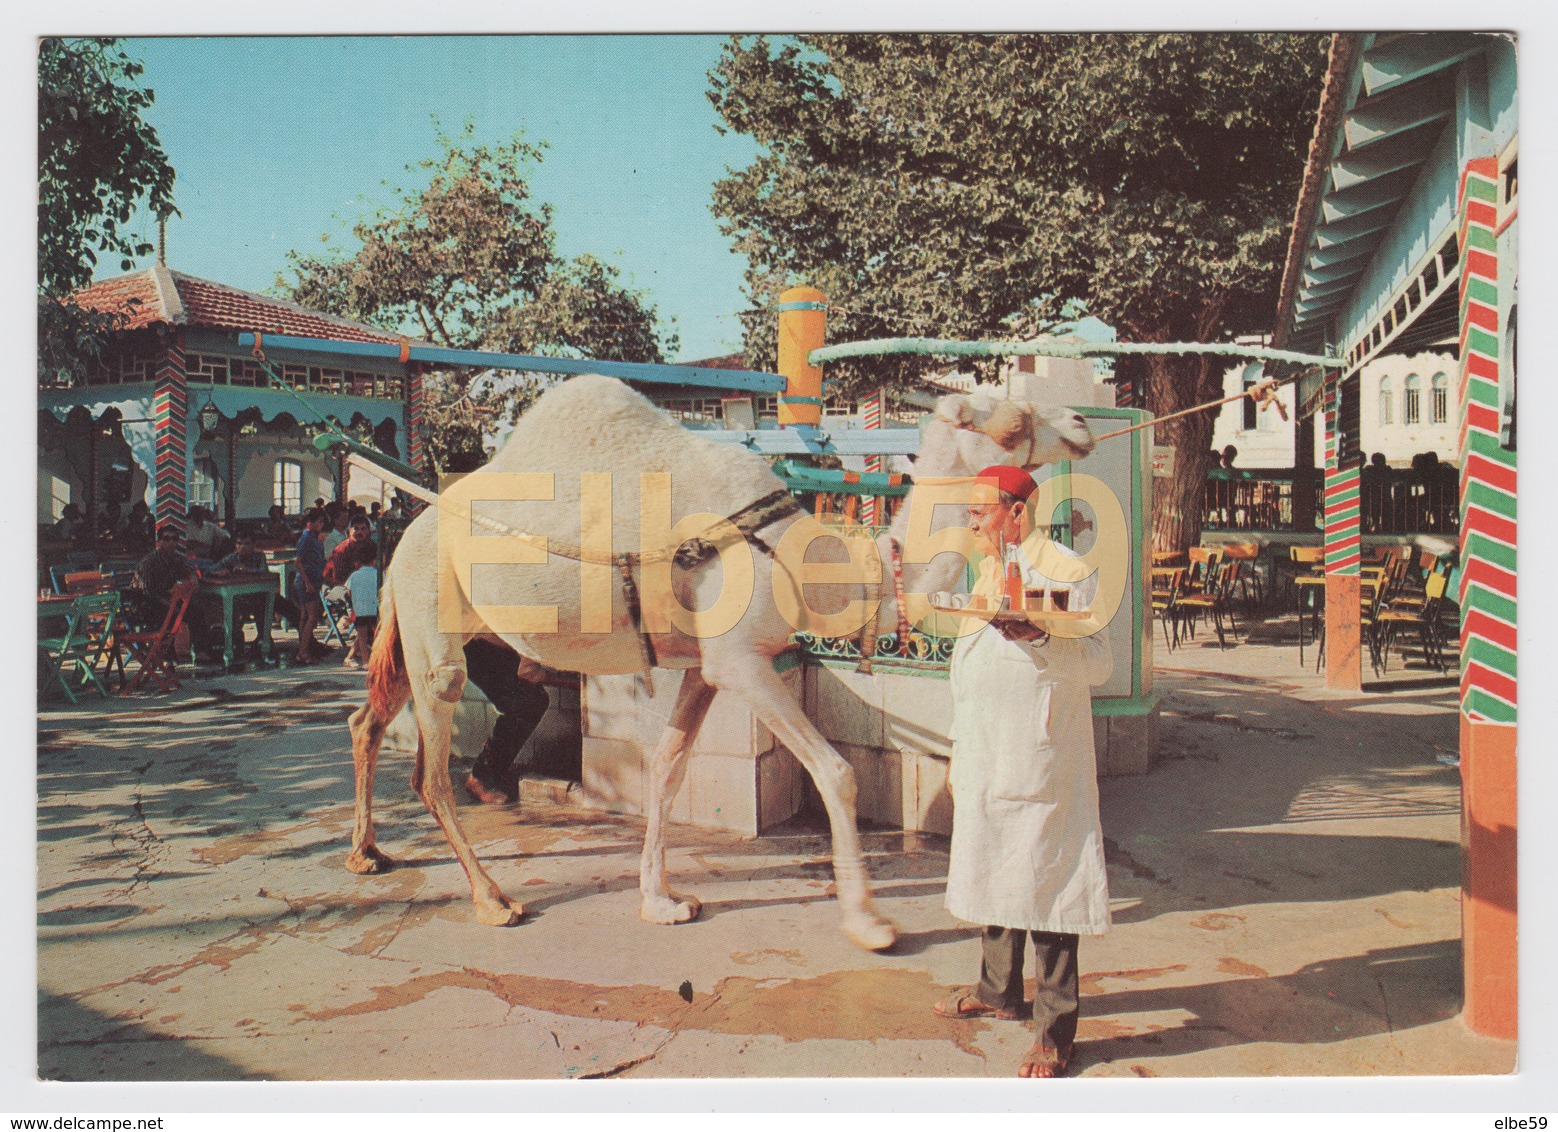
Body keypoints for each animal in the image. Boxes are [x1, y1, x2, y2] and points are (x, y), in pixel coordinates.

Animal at [344, 376, 1096, 952]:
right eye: (1011, 418)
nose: (1083, 421)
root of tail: (407, 532)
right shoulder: (741, 661)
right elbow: (837, 772)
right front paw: (870, 922)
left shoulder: (705, 667)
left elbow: (667, 770)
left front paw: (661, 900)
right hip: (433, 616)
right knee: (429, 770)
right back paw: (492, 899)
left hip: (422, 623)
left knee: (367, 720)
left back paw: (367, 853)